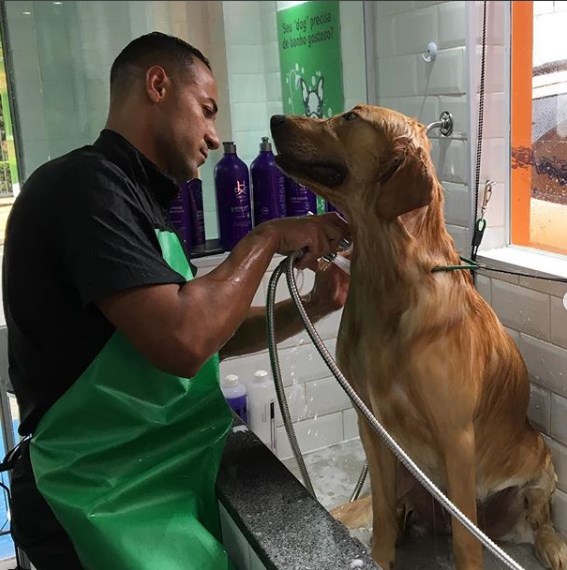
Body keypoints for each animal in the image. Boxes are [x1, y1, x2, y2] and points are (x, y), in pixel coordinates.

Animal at [270, 106, 567, 568]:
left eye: (350, 116)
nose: (275, 120)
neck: (388, 282)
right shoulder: (371, 423)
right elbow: (381, 515)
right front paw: (379, 555)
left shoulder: (457, 437)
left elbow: (466, 542)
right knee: (397, 508)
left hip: (538, 458)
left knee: (539, 518)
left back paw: (553, 545)